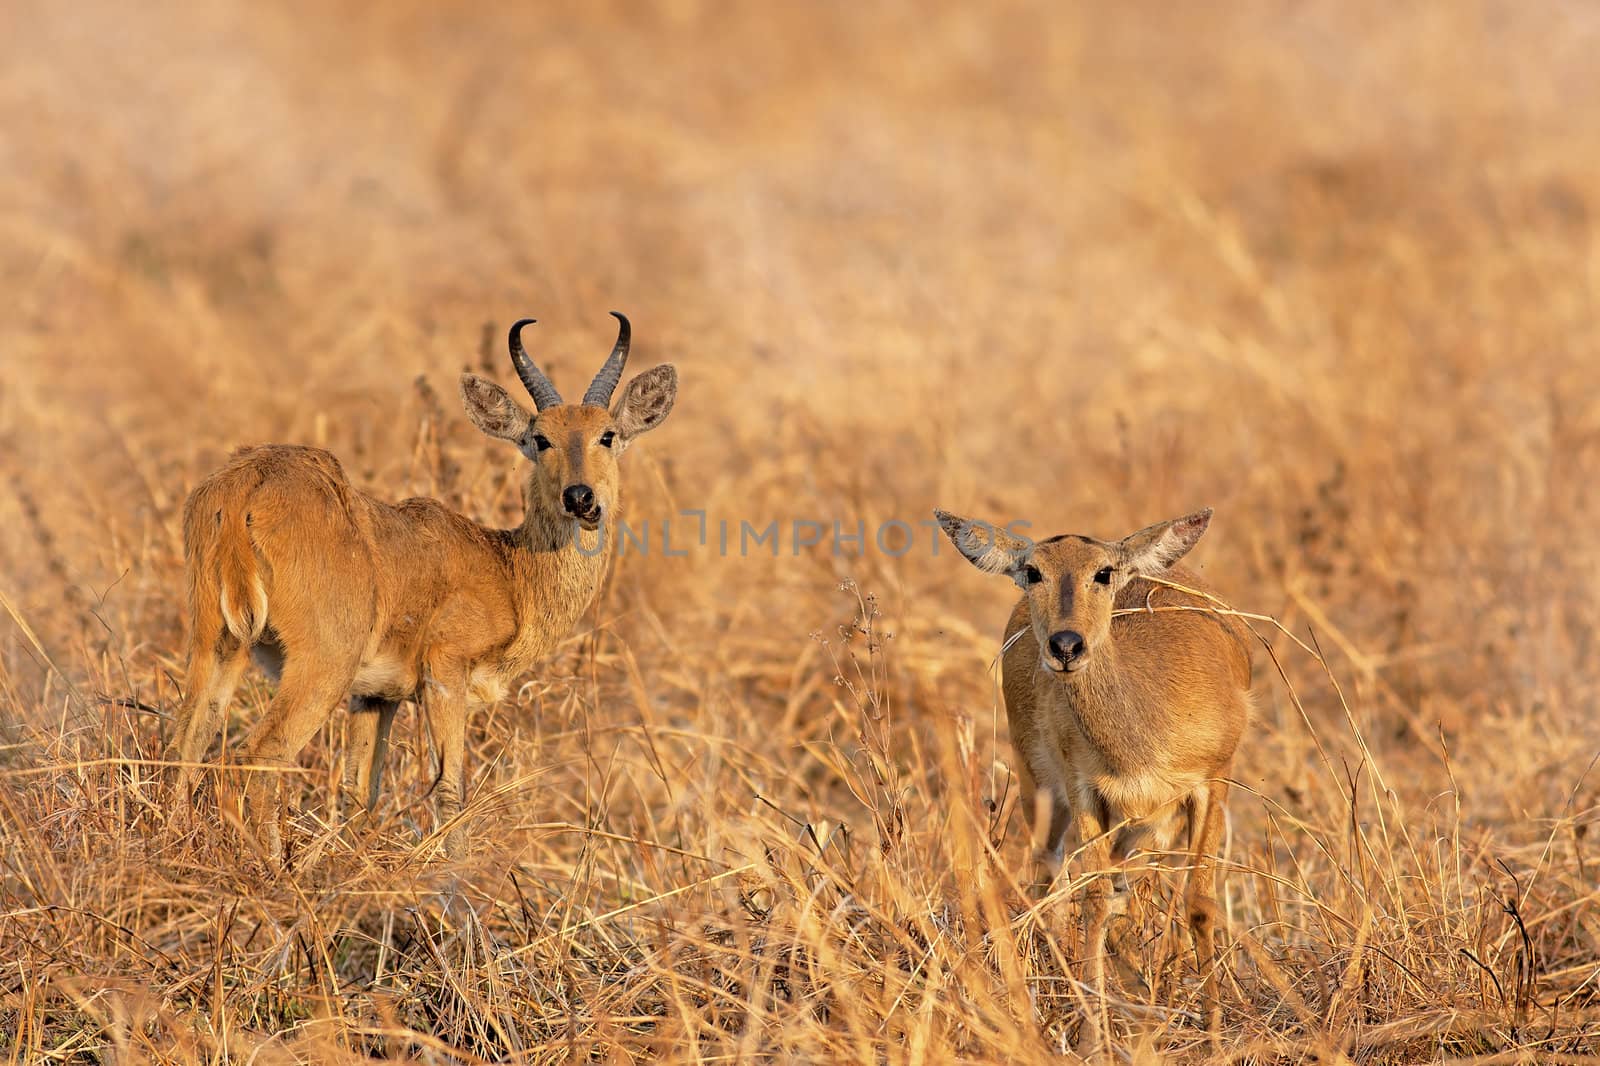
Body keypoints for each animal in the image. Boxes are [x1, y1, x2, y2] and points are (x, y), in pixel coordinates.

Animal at [168, 312, 675, 857]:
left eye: (607, 434)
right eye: (540, 438)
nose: (580, 498)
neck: (509, 571)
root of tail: (247, 483)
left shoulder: (375, 696)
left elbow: (360, 791)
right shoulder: (445, 674)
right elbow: (450, 791)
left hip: (218, 643)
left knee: (186, 740)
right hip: (320, 664)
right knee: (261, 753)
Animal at [934, 505, 1254, 1043]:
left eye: (1103, 572)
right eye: (1032, 571)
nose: (1066, 645)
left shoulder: (1212, 784)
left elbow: (1199, 901)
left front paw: (1212, 1029)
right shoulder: (1083, 791)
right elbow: (1096, 900)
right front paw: (1090, 1033)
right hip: (1042, 792)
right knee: (1049, 878)